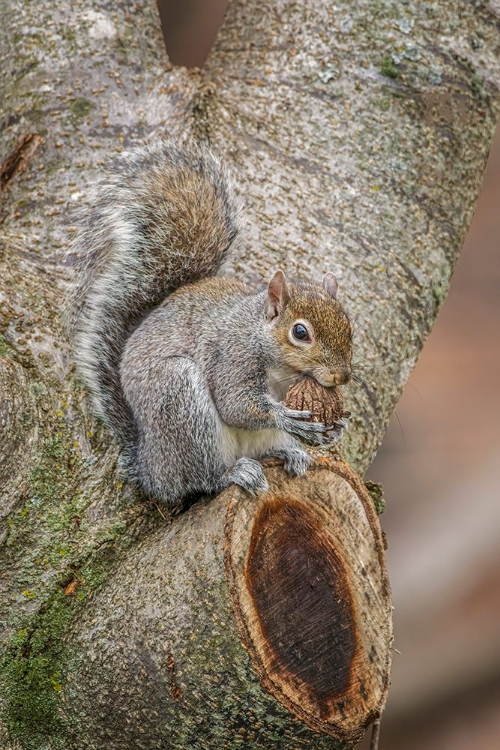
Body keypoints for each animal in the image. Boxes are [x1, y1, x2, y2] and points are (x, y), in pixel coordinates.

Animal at [70, 139, 354, 508]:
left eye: (349, 327)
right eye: (300, 332)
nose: (341, 376)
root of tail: (151, 467)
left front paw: (336, 429)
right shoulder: (232, 355)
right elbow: (235, 405)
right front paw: (287, 417)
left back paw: (290, 453)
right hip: (180, 400)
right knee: (200, 479)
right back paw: (231, 473)